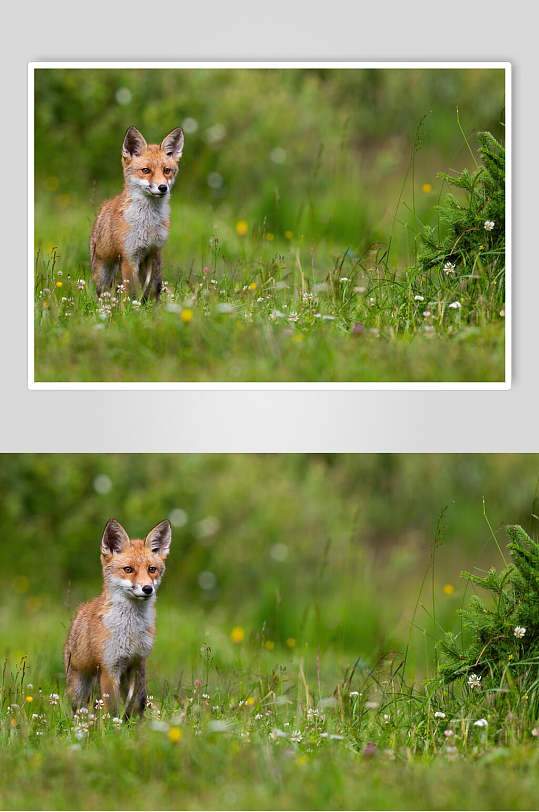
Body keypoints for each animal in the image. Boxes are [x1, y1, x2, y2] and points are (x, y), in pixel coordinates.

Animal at [64, 520, 172, 716]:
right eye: (128, 569)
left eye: (152, 569)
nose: (147, 589)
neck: (131, 630)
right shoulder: (109, 667)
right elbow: (112, 709)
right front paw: (113, 725)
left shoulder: (138, 663)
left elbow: (138, 702)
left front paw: (136, 723)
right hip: (80, 688)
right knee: (80, 708)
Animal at [90, 127, 186, 302]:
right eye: (146, 170)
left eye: (167, 170)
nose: (163, 187)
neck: (148, 223)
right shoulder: (130, 256)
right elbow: (131, 293)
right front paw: (131, 308)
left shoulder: (155, 252)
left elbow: (154, 288)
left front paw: (153, 307)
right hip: (103, 274)